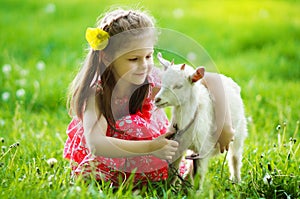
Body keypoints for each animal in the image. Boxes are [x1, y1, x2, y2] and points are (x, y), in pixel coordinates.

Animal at [154, 52, 247, 190]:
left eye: (178, 86)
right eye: (162, 82)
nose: (157, 99)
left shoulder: (203, 147)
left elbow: (199, 174)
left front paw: (195, 191)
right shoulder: (177, 144)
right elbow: (173, 170)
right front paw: (168, 189)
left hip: (239, 133)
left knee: (235, 158)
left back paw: (236, 181)